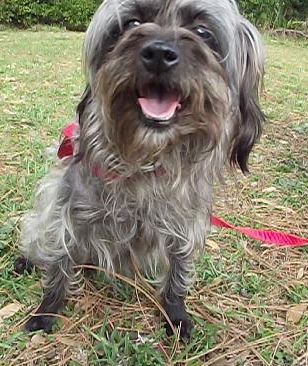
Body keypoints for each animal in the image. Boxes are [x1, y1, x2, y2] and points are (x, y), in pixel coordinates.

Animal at [15, 0, 264, 340]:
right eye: (132, 22)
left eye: (202, 31)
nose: (158, 53)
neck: (147, 160)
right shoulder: (65, 210)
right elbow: (58, 260)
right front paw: (47, 308)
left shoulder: (184, 224)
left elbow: (178, 270)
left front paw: (175, 312)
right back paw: (26, 260)